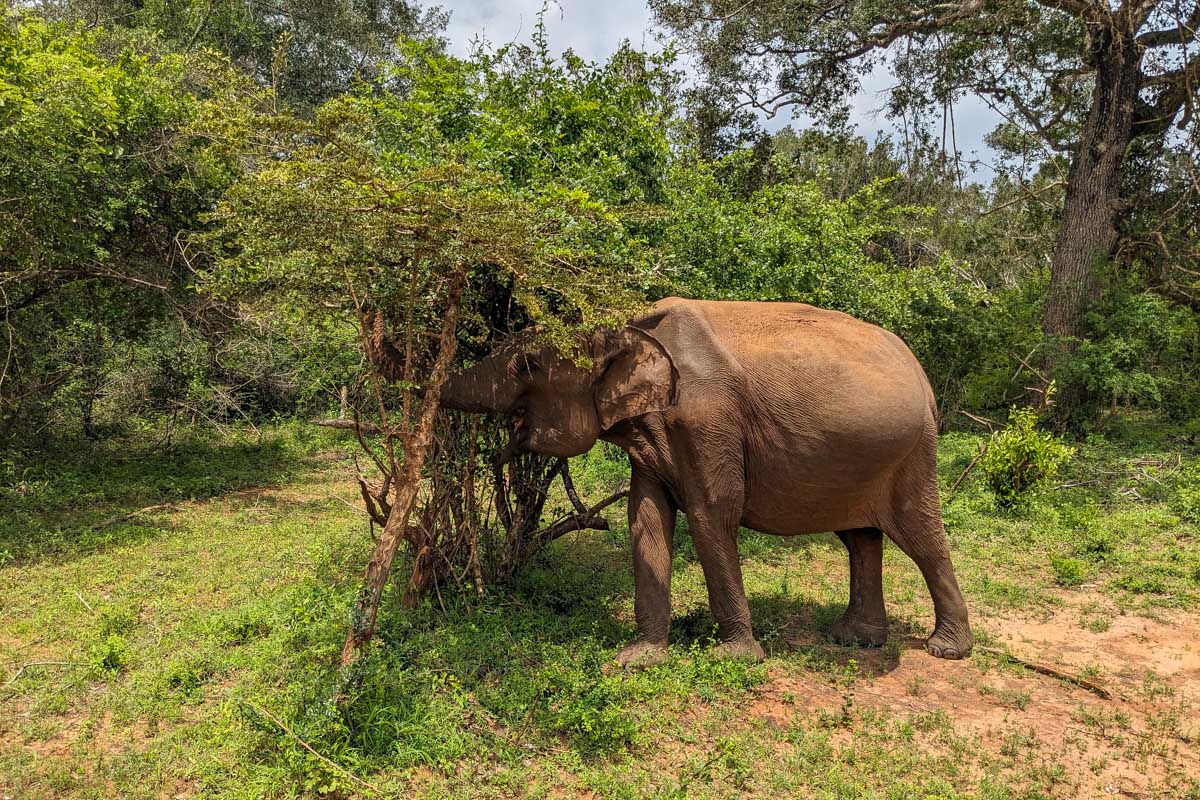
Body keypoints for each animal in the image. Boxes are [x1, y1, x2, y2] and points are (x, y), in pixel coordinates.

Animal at [430, 297, 972, 666]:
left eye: (529, 365)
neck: (628, 325)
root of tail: (921, 373)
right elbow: (646, 519)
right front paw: (638, 659)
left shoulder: (708, 421)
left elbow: (712, 513)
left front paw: (736, 658)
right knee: (860, 537)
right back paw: (853, 639)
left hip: (913, 452)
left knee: (921, 537)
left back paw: (946, 650)